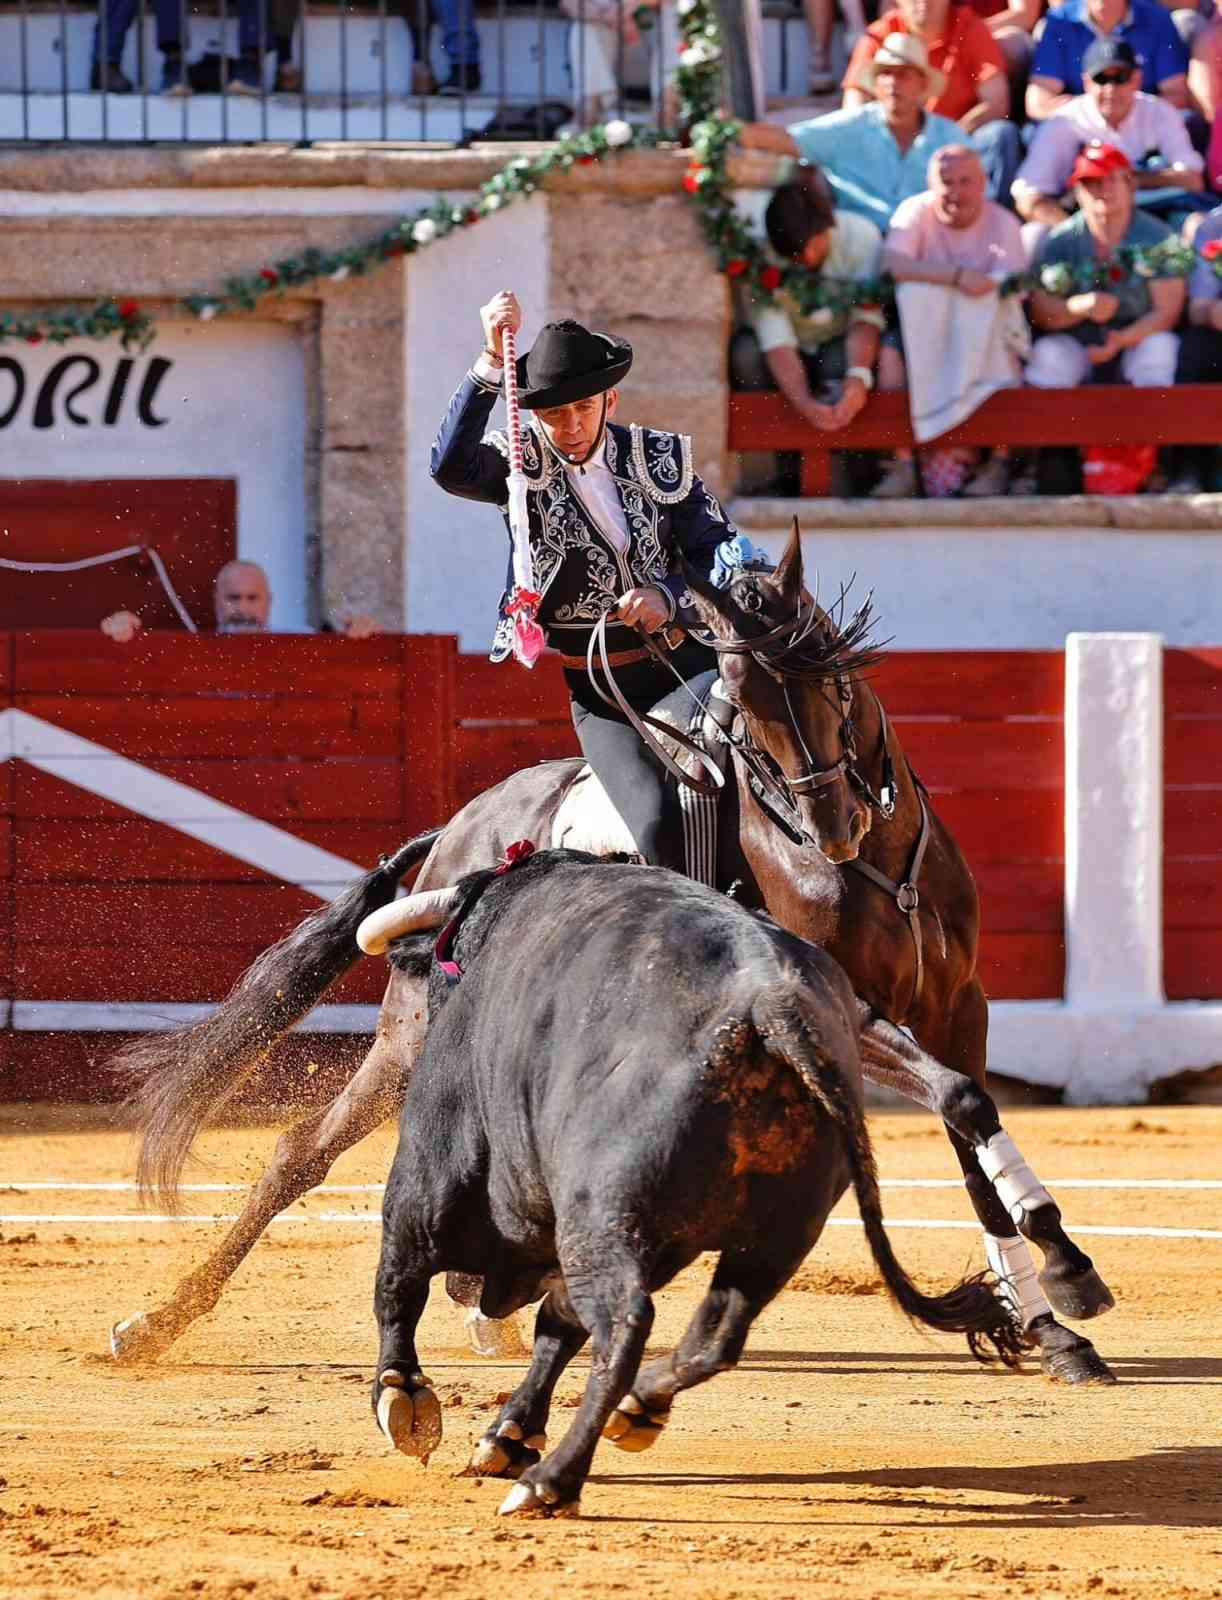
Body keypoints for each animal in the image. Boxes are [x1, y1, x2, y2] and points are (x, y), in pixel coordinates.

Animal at [110, 523, 1114, 1387]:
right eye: (743, 707)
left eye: (827, 673)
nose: (830, 825)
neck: (875, 863)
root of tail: (460, 830)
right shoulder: (846, 1011)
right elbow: (961, 1103)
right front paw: (1065, 1275)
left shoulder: (959, 1003)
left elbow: (972, 1134)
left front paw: (1051, 1321)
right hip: (408, 1035)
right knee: (300, 1154)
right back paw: (156, 1322)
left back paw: (481, 1303)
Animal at [371, 848, 1023, 1518]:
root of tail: (774, 1008)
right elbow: (556, 1326)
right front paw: (508, 1435)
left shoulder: (429, 1173)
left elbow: (400, 1280)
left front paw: (406, 1399)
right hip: (770, 1237)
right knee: (715, 1333)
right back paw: (637, 1410)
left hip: (599, 1221)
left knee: (625, 1323)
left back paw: (552, 1480)